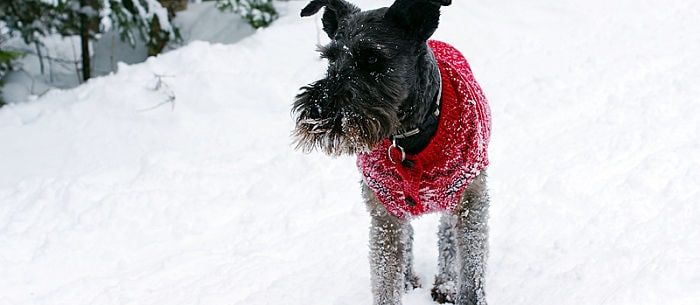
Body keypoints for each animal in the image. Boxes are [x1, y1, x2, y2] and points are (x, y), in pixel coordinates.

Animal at [292, 1, 492, 302]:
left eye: (372, 59)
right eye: (330, 59)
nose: (318, 110)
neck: (407, 138)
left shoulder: (470, 203)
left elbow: (469, 274)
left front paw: (457, 289)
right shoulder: (385, 215)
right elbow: (386, 280)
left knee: (446, 237)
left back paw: (445, 283)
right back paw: (408, 278)